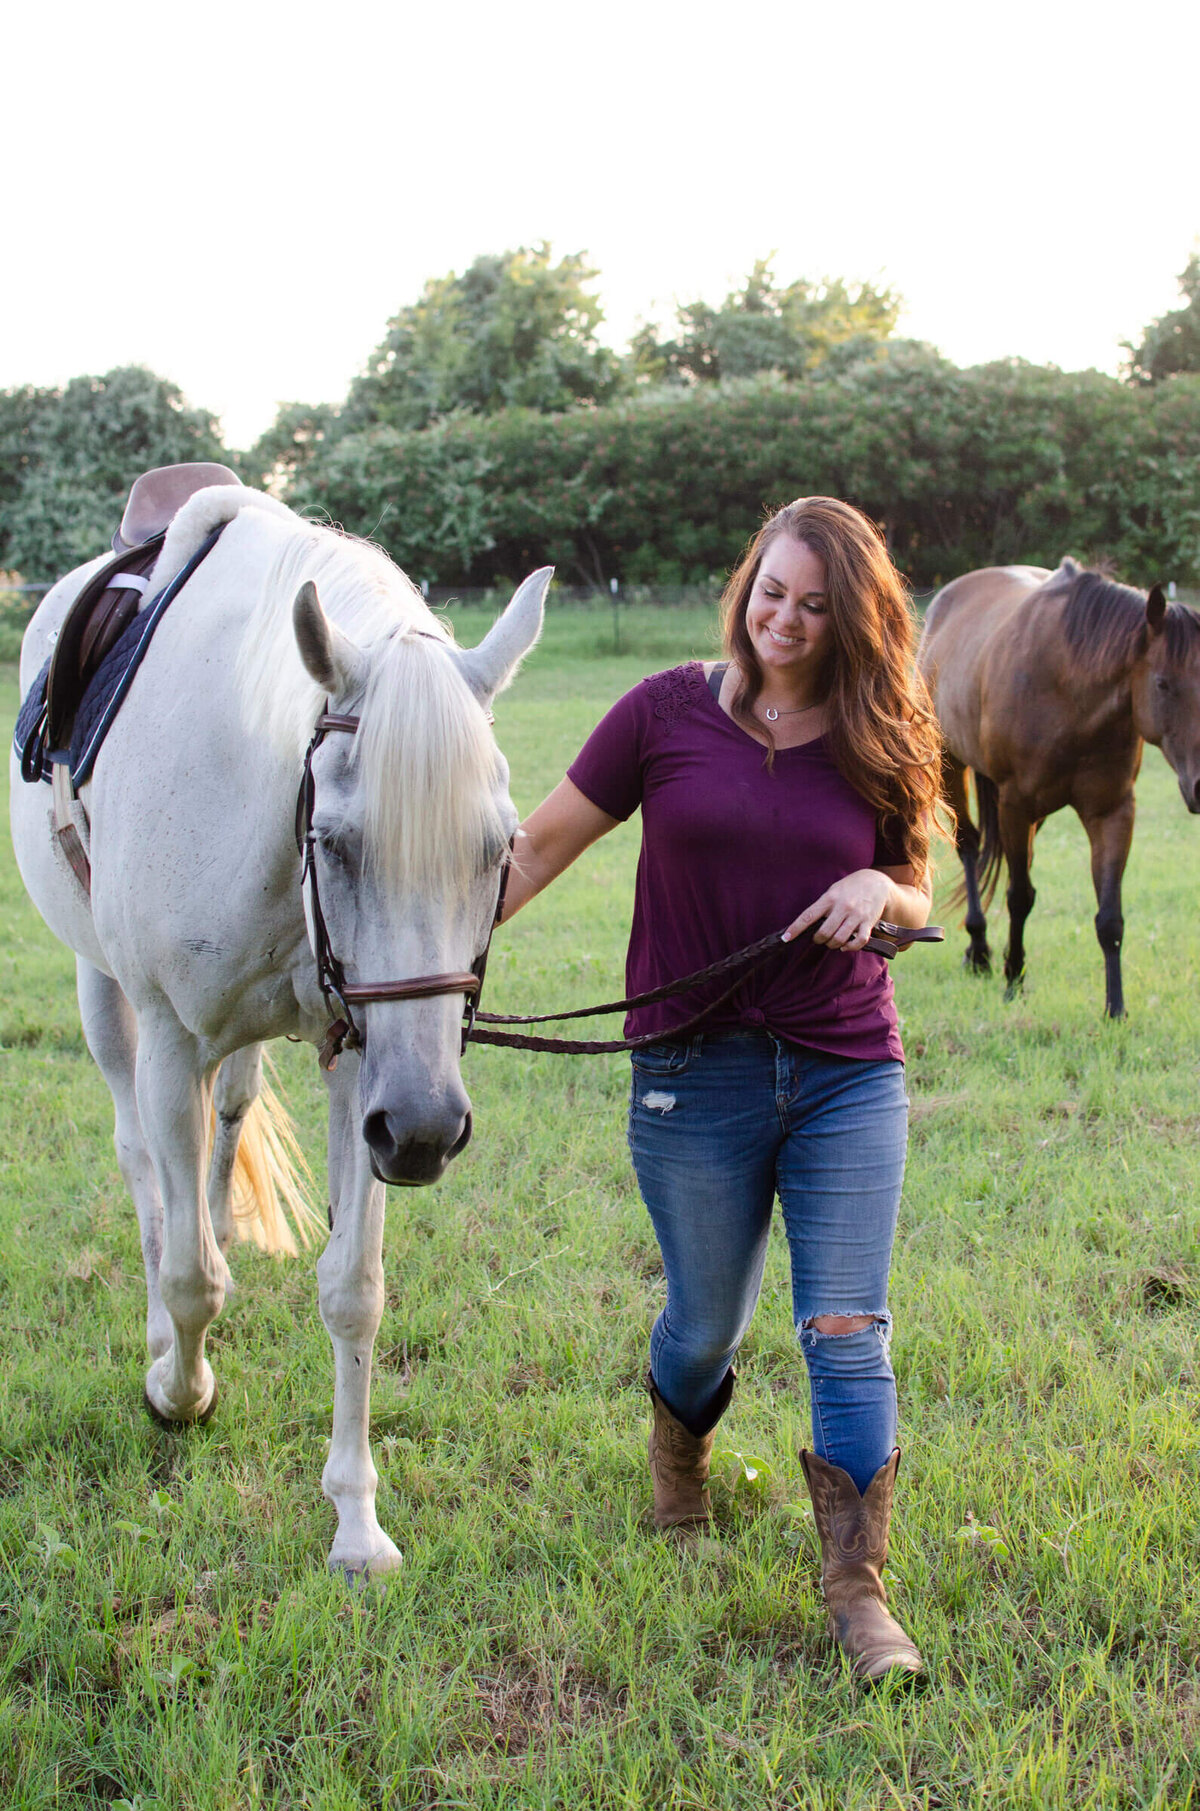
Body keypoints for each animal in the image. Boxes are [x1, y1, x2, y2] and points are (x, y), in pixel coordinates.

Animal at [9, 483, 549, 1577]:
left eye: (498, 847)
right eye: (337, 842)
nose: (427, 1130)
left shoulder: (363, 1063)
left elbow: (352, 1289)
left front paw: (356, 1521)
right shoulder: (173, 1037)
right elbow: (188, 1279)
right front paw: (179, 1391)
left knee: (226, 1122)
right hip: (104, 996)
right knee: (144, 1170)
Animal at [917, 558, 1200, 1019]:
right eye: (1163, 683)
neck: (1071, 691)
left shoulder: (1113, 811)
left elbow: (1110, 916)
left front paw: (1115, 1007)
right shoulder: (1016, 805)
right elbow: (1019, 896)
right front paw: (1013, 979)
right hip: (951, 767)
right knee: (970, 847)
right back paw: (978, 950)